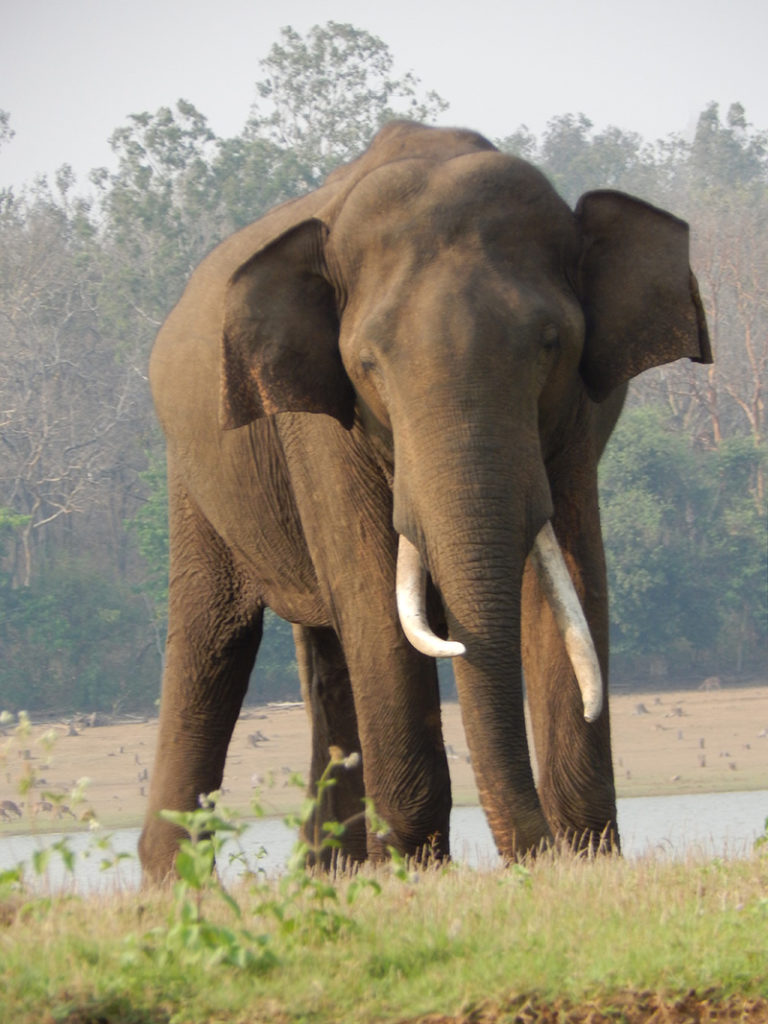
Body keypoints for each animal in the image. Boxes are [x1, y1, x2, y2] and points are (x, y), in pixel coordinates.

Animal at [138, 120, 711, 881]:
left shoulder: (579, 420)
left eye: (552, 343)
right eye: (368, 364)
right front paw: (418, 871)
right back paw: (177, 884)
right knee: (214, 638)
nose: (535, 857)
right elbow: (375, 601)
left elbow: (571, 581)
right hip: (194, 468)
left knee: (325, 653)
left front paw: (591, 864)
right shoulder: (321, 423)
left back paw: (330, 872)